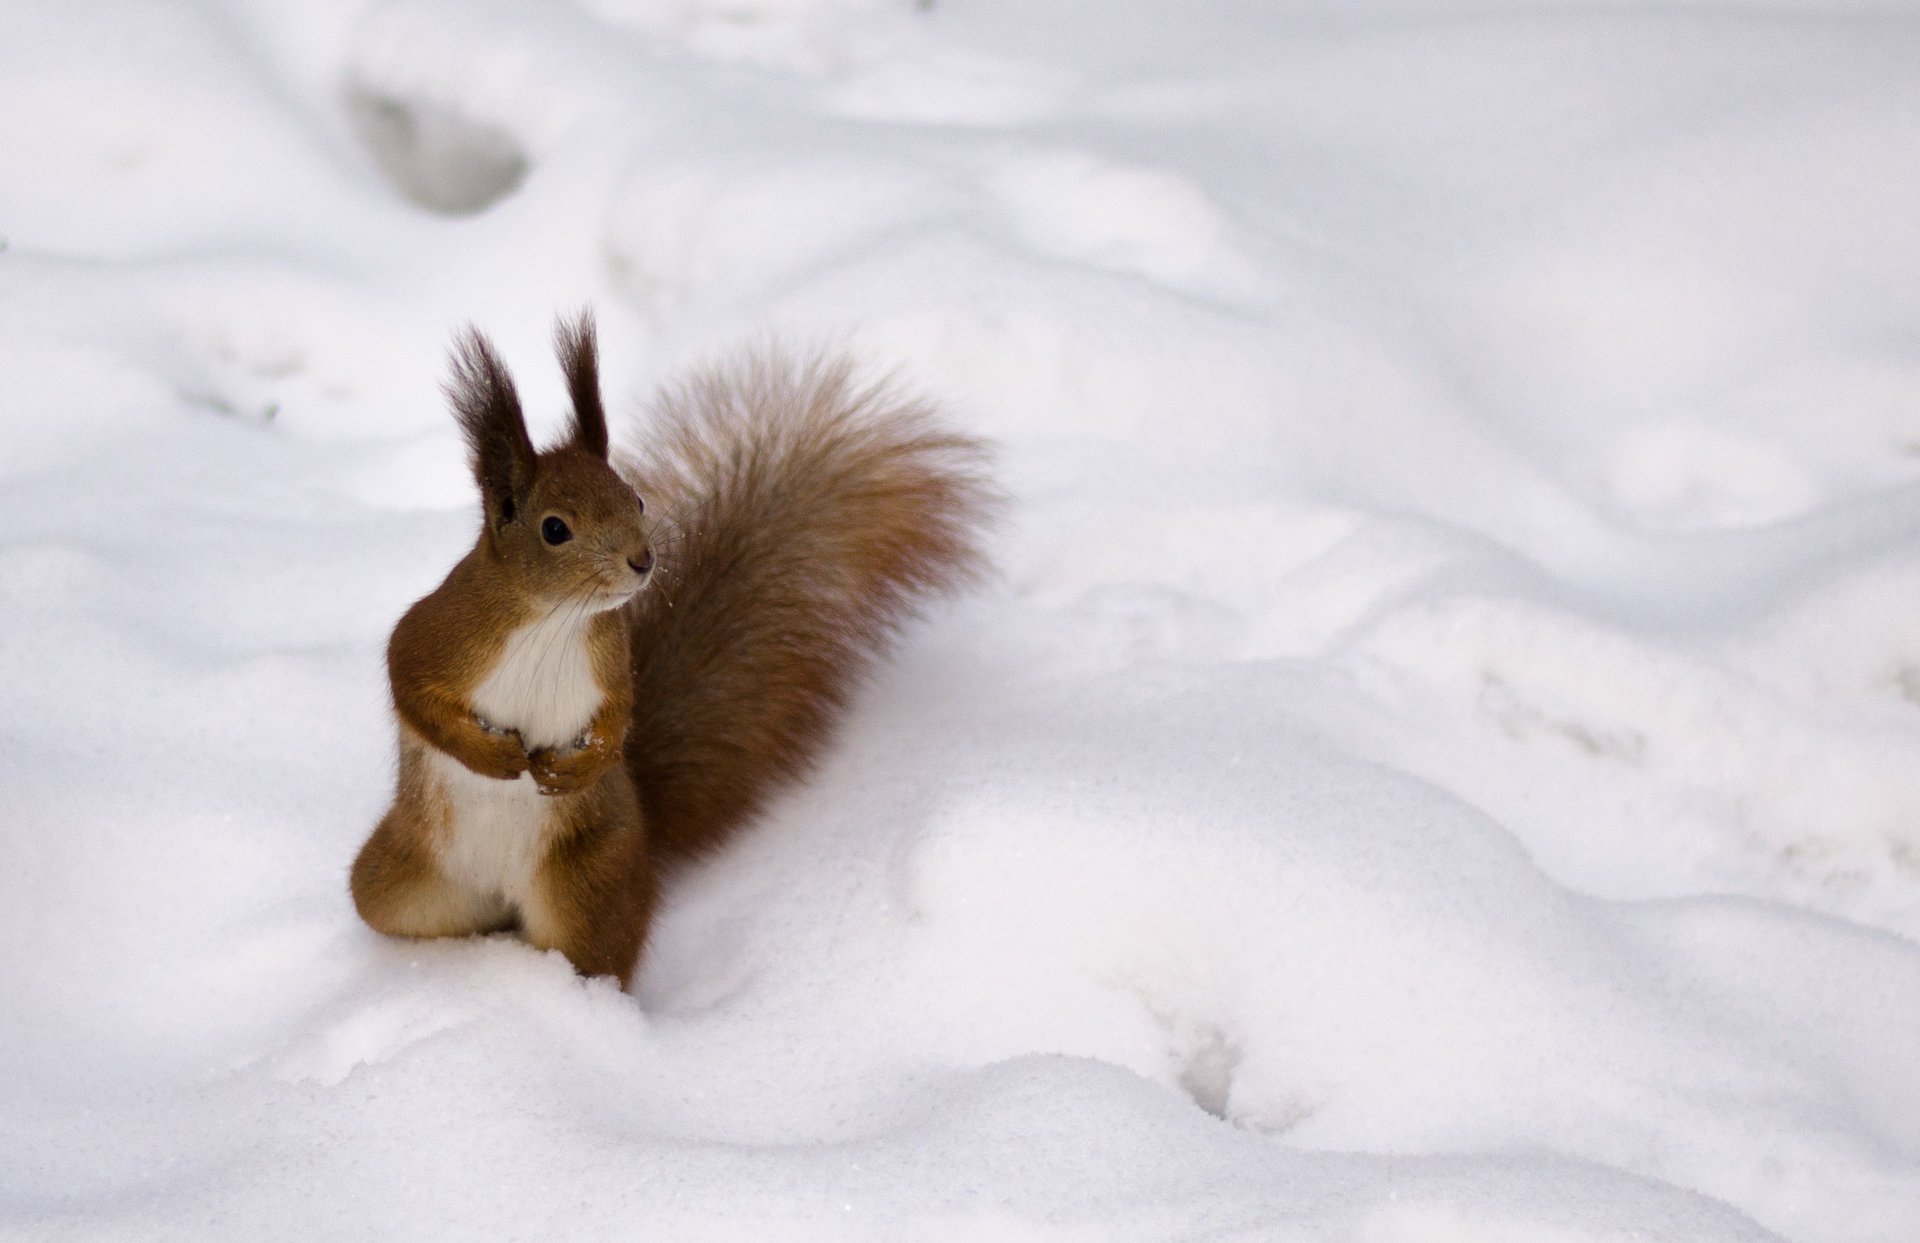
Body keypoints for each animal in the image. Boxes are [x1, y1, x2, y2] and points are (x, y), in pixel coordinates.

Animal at [350, 314, 992, 985]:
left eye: (633, 499)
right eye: (554, 528)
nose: (643, 560)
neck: (553, 621)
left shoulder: (609, 659)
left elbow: (619, 716)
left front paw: (579, 765)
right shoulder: (440, 633)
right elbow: (409, 684)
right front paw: (489, 755)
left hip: (588, 888)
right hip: (394, 881)